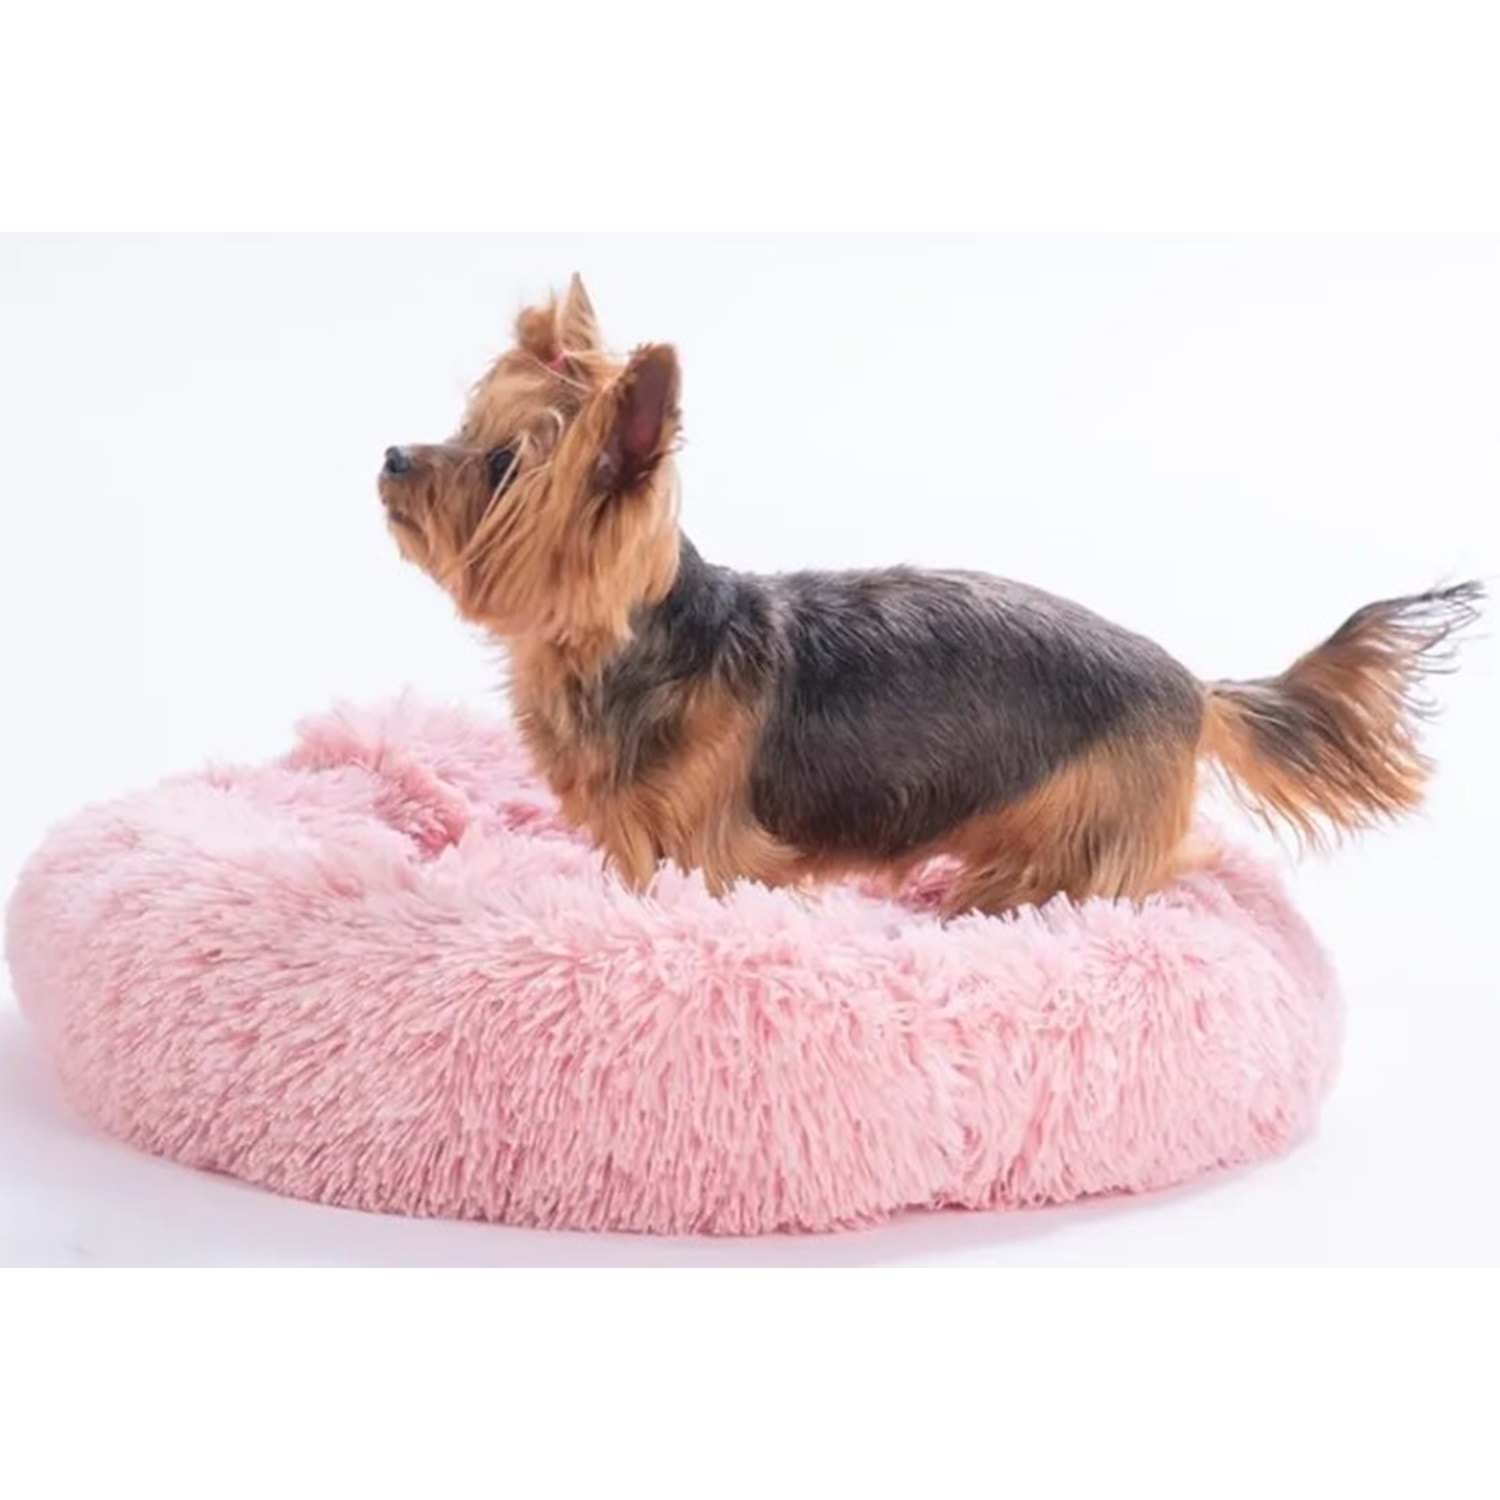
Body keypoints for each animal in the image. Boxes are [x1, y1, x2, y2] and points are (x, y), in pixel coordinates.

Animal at [378, 274, 1481, 916]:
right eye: (464, 428)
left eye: (500, 467)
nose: (393, 456)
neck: (630, 643)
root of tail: (1192, 687)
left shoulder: (712, 852)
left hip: (1076, 837)